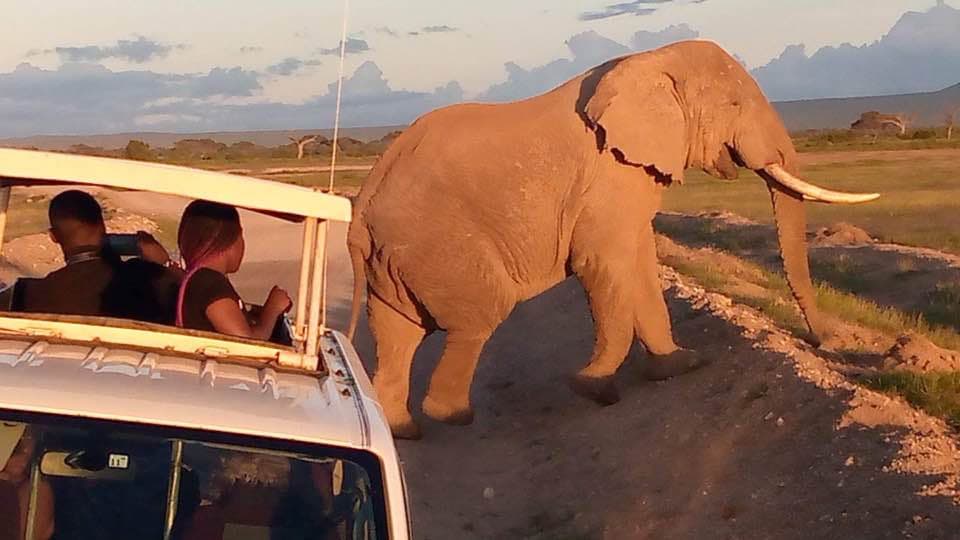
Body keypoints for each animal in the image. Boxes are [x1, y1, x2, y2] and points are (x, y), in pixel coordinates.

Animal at [347, 40, 879, 439]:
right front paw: (594, 388)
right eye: (733, 105)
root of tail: (362, 205)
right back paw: (451, 415)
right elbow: (604, 264)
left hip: (396, 256)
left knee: (397, 331)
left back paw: (403, 429)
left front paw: (682, 365)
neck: (654, 60)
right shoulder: (609, 174)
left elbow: (639, 263)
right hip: (438, 243)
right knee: (479, 314)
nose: (824, 342)